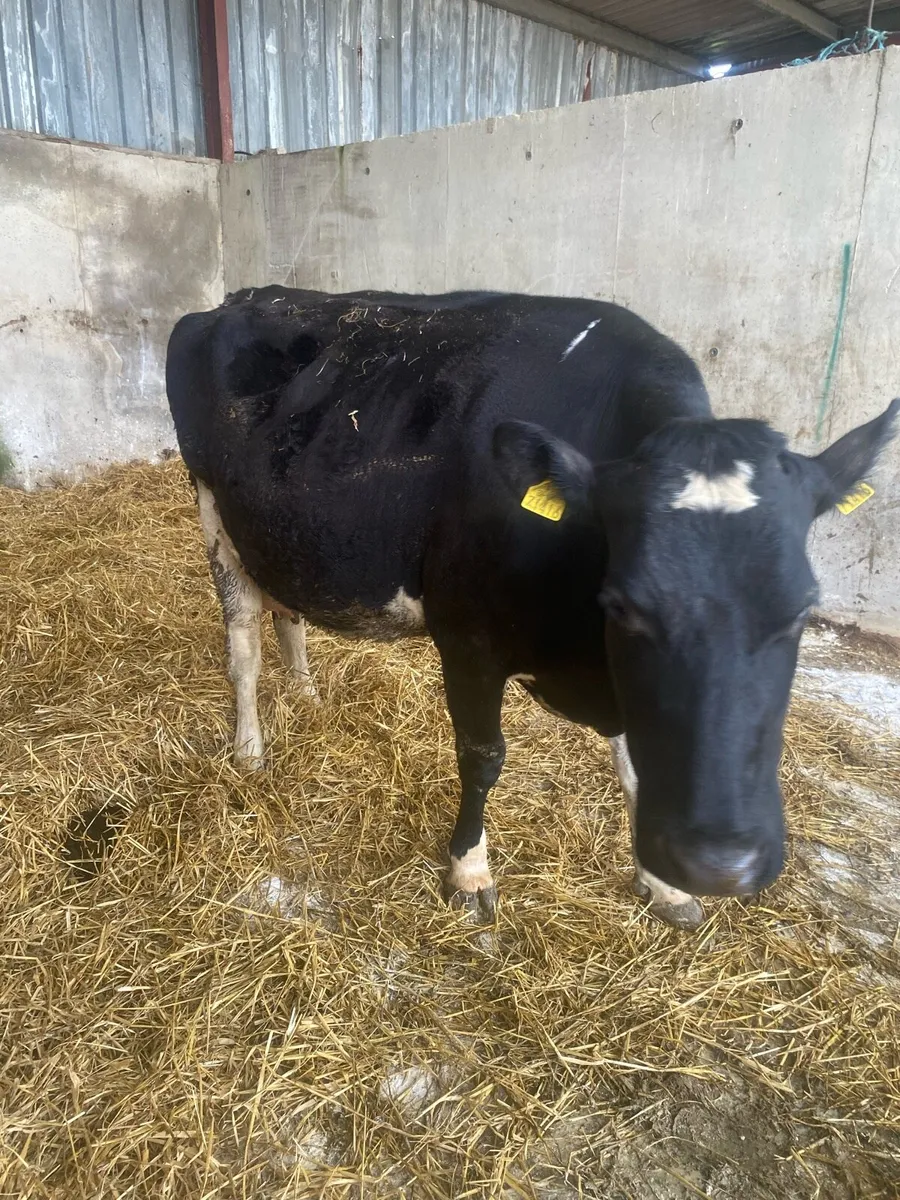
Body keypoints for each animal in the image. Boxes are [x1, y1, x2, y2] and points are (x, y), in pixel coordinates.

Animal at [166, 287, 898, 929]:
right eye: (626, 605)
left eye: (801, 611)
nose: (723, 863)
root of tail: (241, 298)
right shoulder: (467, 640)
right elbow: (482, 756)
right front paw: (468, 873)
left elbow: (638, 765)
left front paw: (664, 884)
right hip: (211, 509)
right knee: (242, 644)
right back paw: (250, 749)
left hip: (280, 531)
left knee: (285, 609)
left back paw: (306, 693)